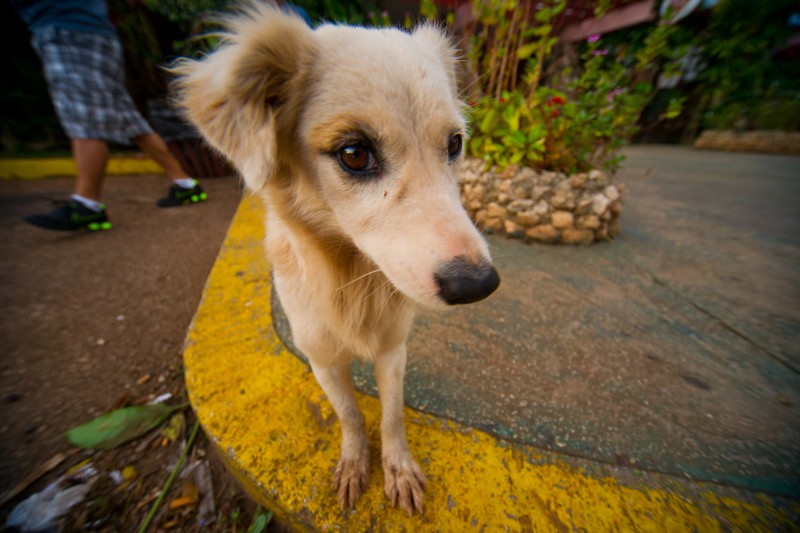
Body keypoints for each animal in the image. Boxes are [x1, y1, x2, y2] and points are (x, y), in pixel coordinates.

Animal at [175, 2, 500, 512]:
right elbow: (350, 414)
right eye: (354, 153)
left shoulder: (393, 349)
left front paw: (398, 469)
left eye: (454, 144)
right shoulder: (322, 359)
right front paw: (353, 464)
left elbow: (391, 416)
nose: (479, 285)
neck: (353, 279)